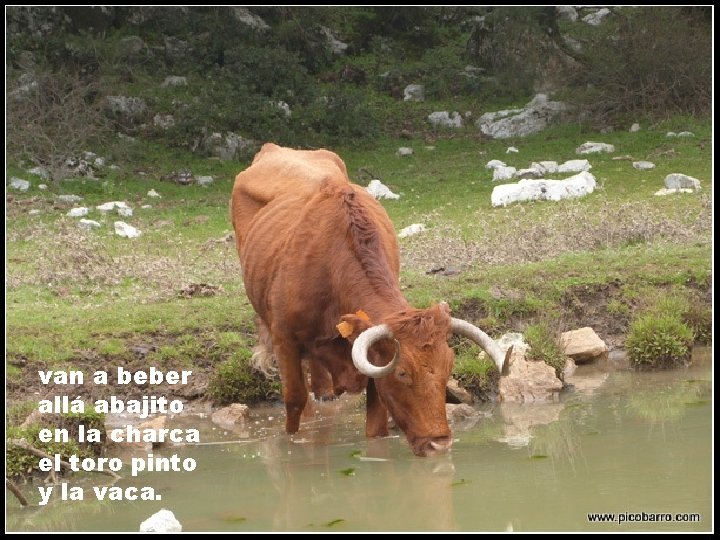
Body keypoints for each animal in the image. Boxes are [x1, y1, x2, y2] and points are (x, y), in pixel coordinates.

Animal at [231, 143, 508, 457]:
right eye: (402, 373)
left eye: (448, 368)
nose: (439, 443)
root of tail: (274, 149)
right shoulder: (284, 340)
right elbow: (294, 403)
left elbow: (376, 427)